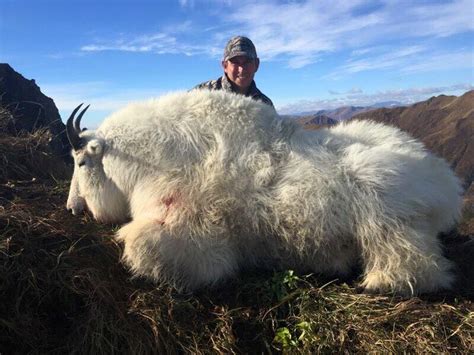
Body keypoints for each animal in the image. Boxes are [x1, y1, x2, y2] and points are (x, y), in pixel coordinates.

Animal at [66, 90, 462, 296]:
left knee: (416, 269)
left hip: (390, 220)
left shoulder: (195, 231)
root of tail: (447, 185)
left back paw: (373, 280)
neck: (152, 159)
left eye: (81, 163)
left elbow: (138, 246)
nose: (73, 208)